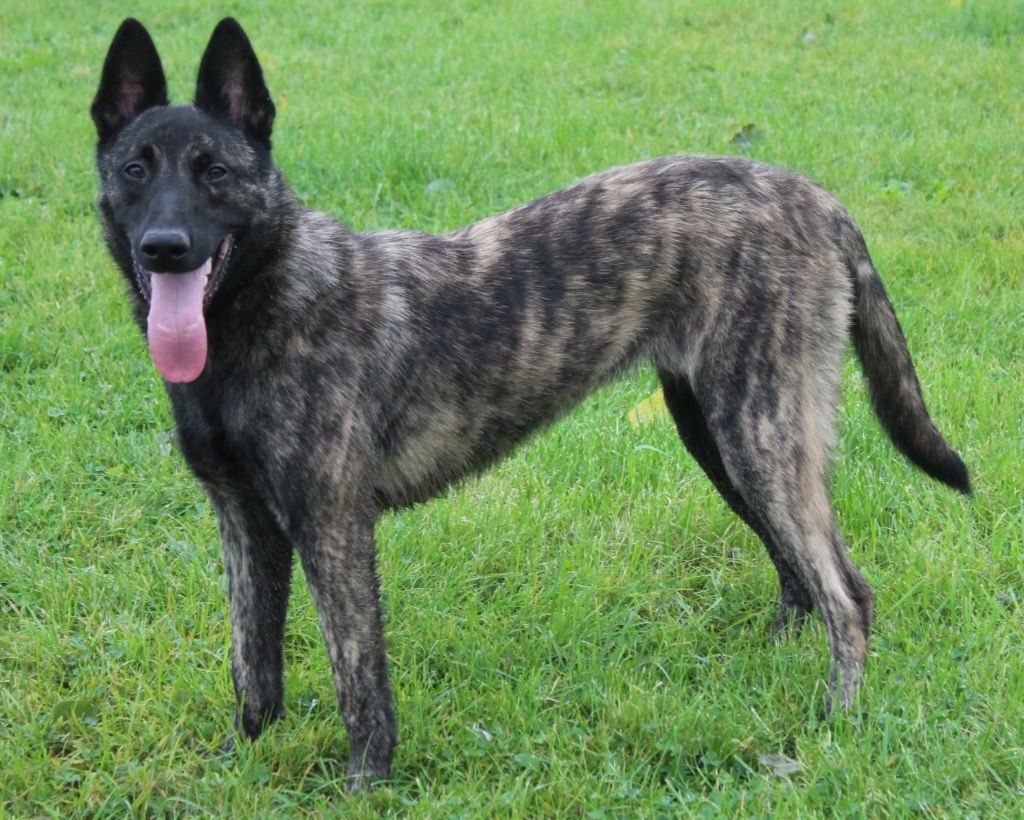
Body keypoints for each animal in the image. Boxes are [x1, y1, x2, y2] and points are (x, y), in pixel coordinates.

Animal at [92, 17, 970, 791]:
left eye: (215, 172)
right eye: (136, 169)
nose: (164, 248)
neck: (265, 300)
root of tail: (814, 197)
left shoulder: (333, 528)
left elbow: (358, 680)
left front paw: (366, 787)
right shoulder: (246, 523)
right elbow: (254, 663)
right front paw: (243, 763)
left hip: (761, 434)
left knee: (847, 595)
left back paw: (835, 724)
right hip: (721, 434)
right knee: (800, 574)